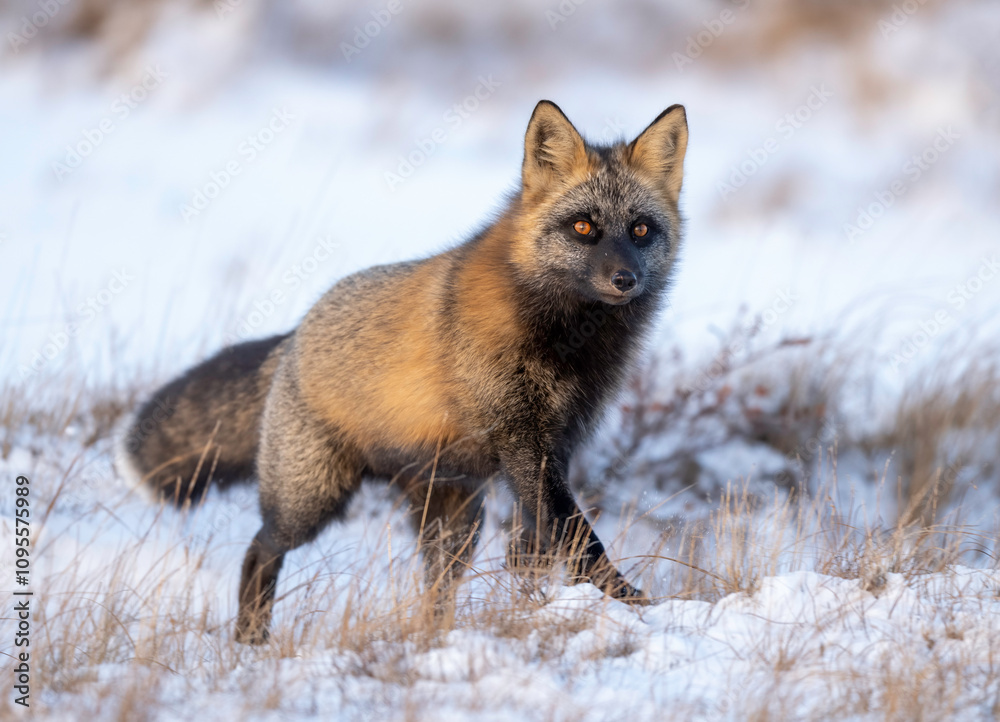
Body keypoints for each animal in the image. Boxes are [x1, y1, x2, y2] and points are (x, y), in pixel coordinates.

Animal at [121, 100, 688, 644]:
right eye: (583, 227)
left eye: (640, 230)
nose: (625, 278)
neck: (564, 339)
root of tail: (294, 335)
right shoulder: (523, 442)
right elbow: (580, 539)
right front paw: (633, 603)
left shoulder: (556, 446)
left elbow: (536, 550)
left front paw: (538, 607)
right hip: (311, 499)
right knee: (260, 549)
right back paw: (250, 641)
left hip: (455, 519)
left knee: (436, 587)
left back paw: (436, 636)